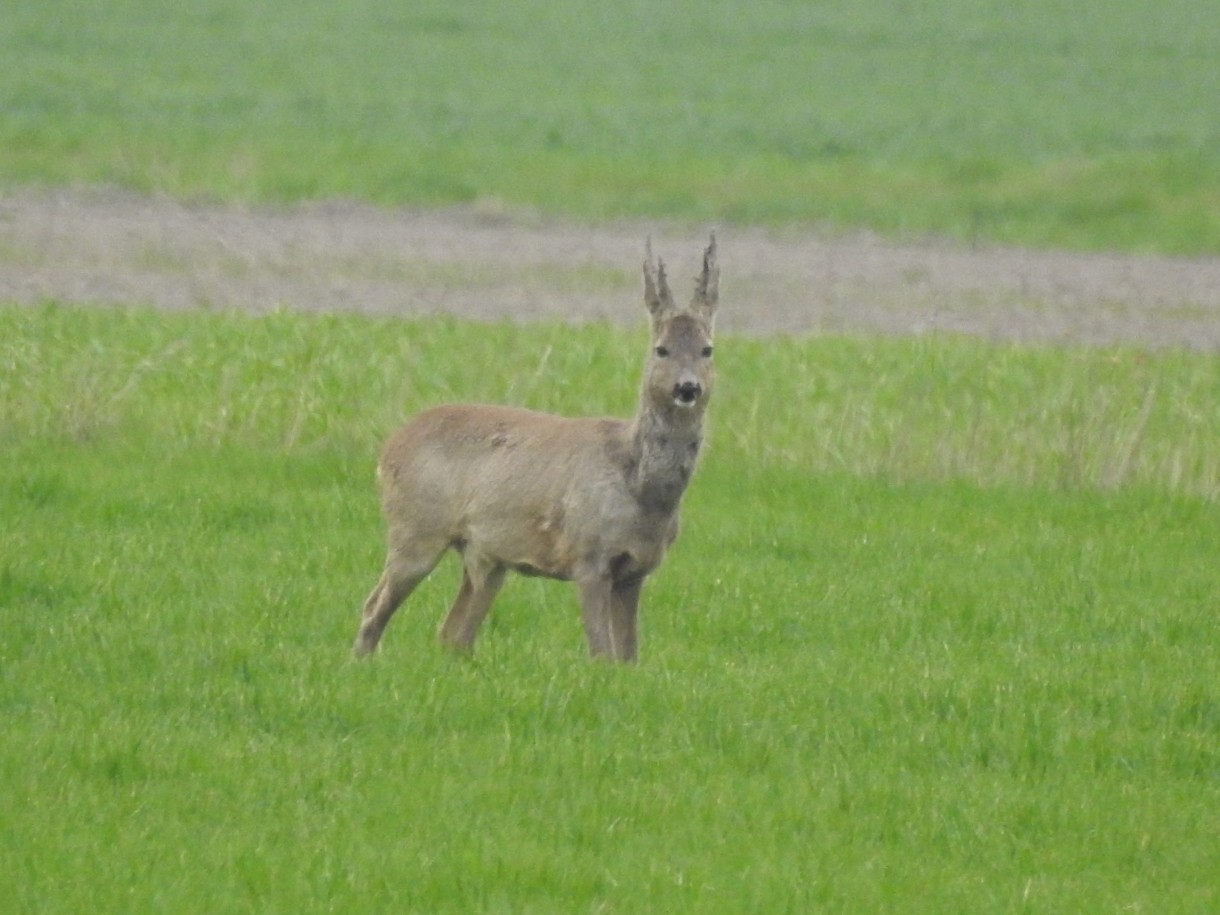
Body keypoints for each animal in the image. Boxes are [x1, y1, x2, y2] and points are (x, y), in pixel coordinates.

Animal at [351, 237, 712, 668]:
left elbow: (628, 656)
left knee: (453, 633)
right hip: (415, 528)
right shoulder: (587, 554)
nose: (687, 387)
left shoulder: (637, 568)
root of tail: (388, 449)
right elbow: (601, 652)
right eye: (661, 349)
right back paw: (361, 662)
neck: (638, 486)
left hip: (486, 557)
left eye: (707, 350)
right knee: (373, 608)